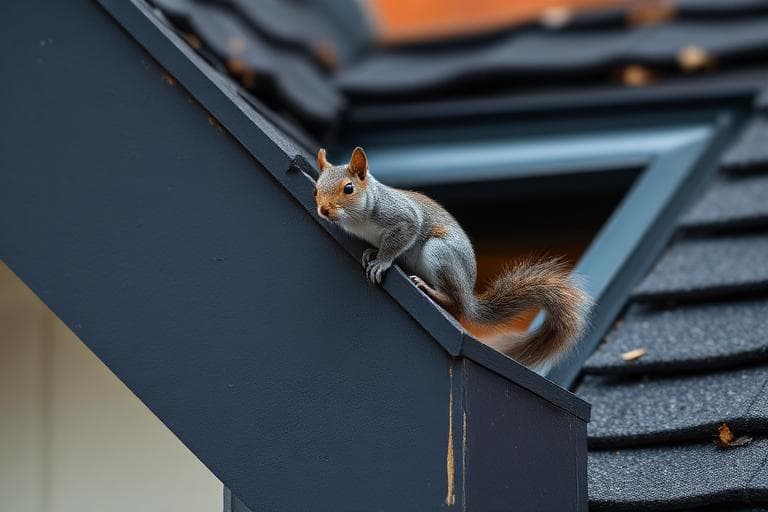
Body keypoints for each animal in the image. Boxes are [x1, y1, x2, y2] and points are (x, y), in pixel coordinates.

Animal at [313, 146, 590, 368]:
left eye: (349, 188)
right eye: (316, 189)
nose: (323, 210)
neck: (359, 219)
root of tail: (469, 296)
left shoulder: (402, 219)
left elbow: (399, 239)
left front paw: (381, 262)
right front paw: (372, 252)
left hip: (439, 253)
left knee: (454, 304)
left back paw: (432, 291)